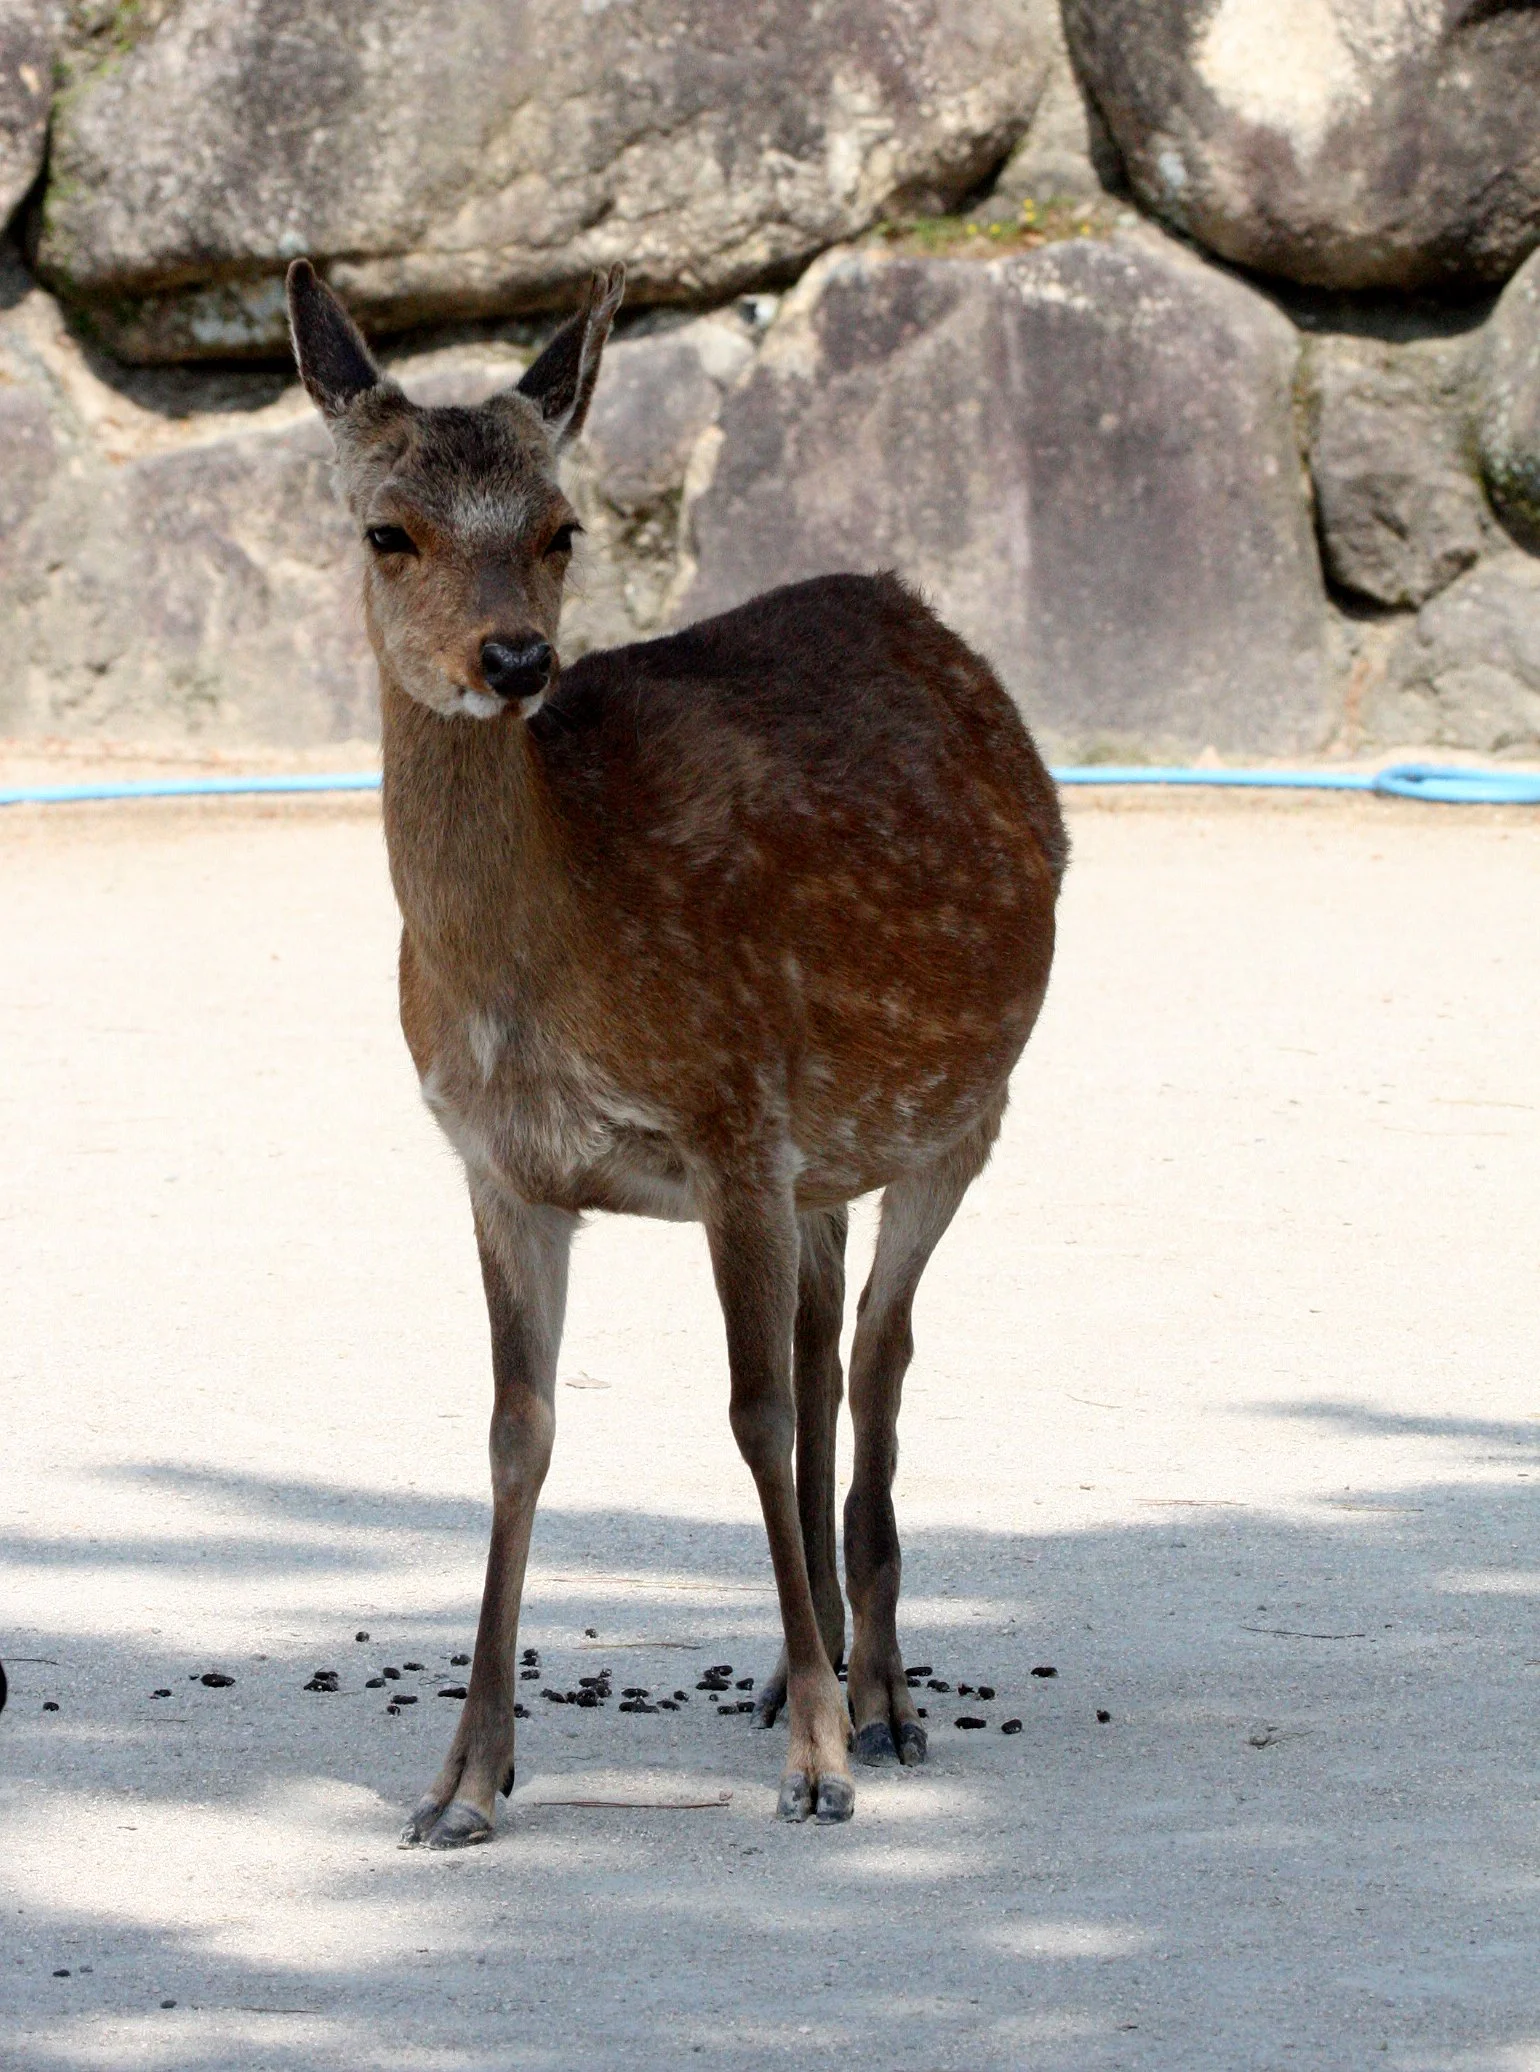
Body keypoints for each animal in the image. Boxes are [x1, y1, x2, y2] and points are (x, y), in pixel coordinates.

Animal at [286, 256, 1067, 1846]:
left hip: (962, 1112)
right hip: (830, 1152)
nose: (515, 659)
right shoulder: (498, 1166)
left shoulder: (729, 1117)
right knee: (834, 1345)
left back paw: (880, 1699)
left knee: (878, 1352)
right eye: (387, 530)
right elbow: (516, 1431)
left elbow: (752, 1411)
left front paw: (820, 1765)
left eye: (561, 527)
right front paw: (463, 1781)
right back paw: (792, 1666)